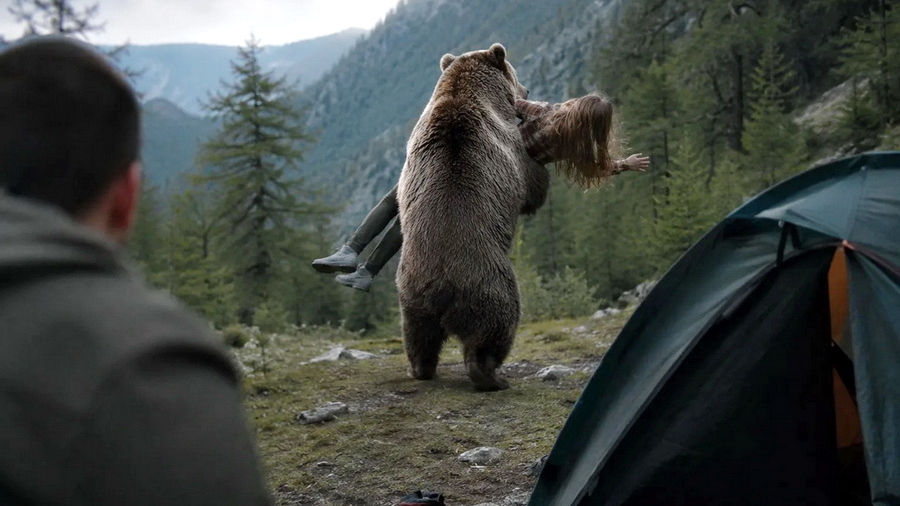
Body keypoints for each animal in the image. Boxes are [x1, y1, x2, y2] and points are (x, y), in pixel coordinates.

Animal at [395, 43, 550, 391]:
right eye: (516, 75)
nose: (526, 90)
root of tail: (439, 288)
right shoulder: (509, 146)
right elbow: (532, 186)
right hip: (487, 280)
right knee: (498, 324)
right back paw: (491, 375)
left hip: (410, 293)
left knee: (418, 336)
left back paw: (420, 369)